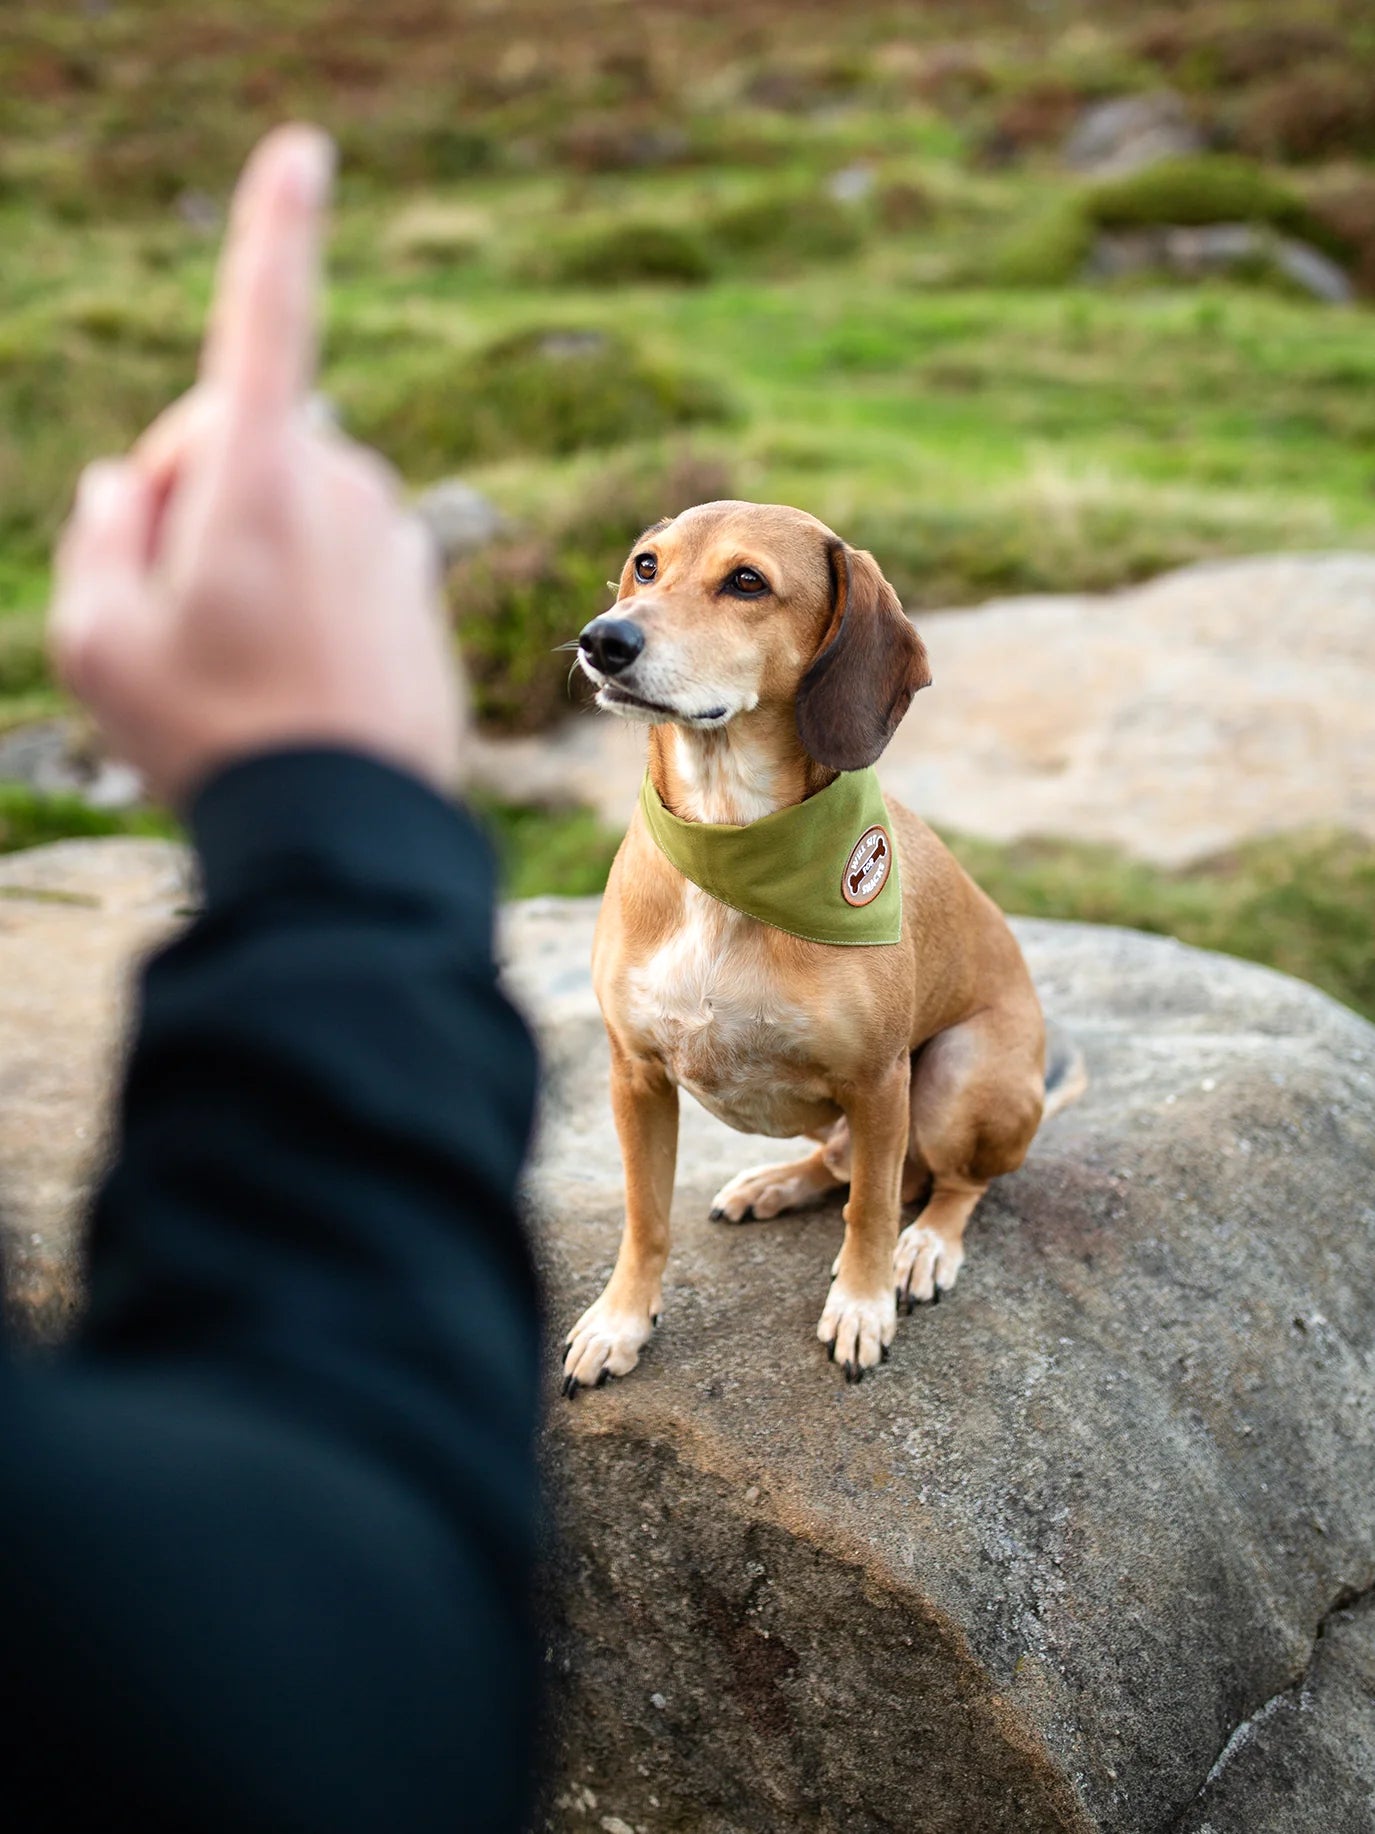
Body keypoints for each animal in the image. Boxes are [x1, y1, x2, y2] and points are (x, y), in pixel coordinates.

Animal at [561, 502, 1085, 1386]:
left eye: (746, 582)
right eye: (645, 566)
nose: (602, 639)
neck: (728, 843)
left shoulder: (878, 1082)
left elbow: (869, 1208)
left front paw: (862, 1305)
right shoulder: (635, 1076)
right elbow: (645, 1216)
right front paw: (620, 1321)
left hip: (954, 1077)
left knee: (946, 1184)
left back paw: (924, 1247)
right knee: (840, 1163)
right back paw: (772, 1183)